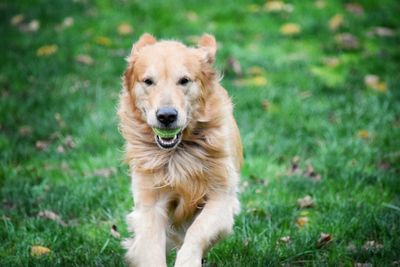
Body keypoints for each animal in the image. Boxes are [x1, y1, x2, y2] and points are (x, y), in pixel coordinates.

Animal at [117, 33, 242, 267]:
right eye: (148, 81)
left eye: (184, 80)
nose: (166, 116)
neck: (178, 154)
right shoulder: (150, 203)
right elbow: (150, 247)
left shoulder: (222, 197)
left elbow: (198, 230)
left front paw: (188, 260)